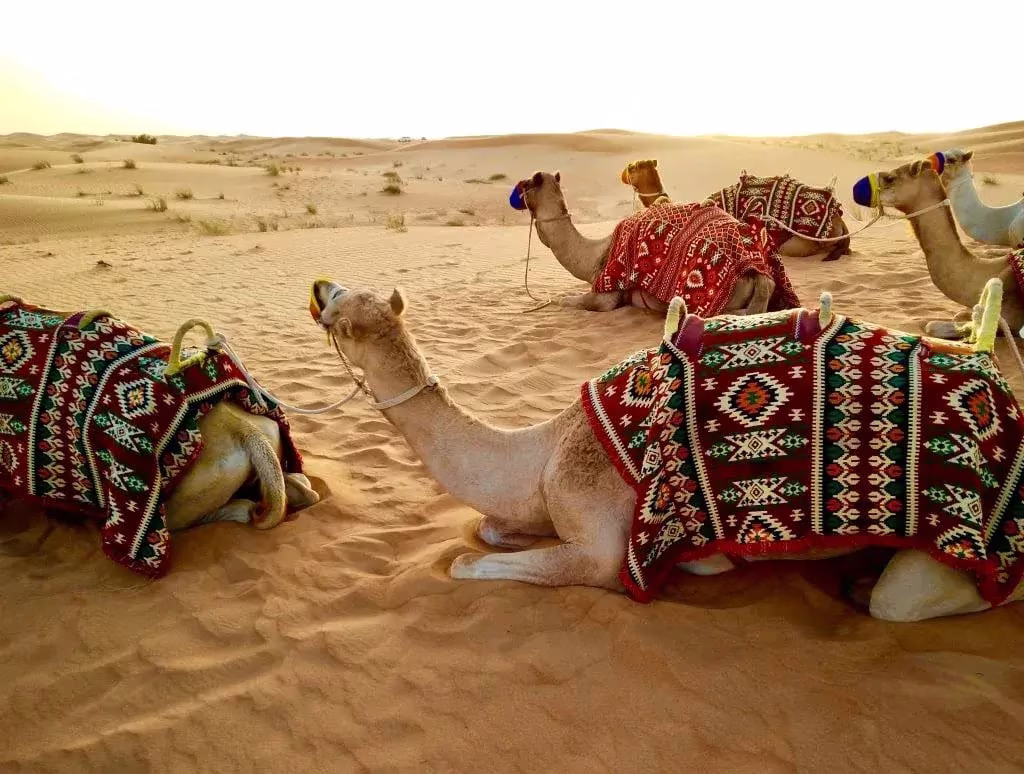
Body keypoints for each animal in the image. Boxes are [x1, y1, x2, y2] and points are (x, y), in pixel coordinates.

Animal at [309, 278, 1024, 621]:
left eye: (340, 310)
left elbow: (467, 562)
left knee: (915, 599)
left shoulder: (600, 545)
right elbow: (488, 530)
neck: (545, 448)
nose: (317, 286)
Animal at [512, 170, 787, 316]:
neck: (595, 253)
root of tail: (759, 273)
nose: (516, 193)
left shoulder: (607, 294)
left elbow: (569, 301)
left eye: (526, 184)